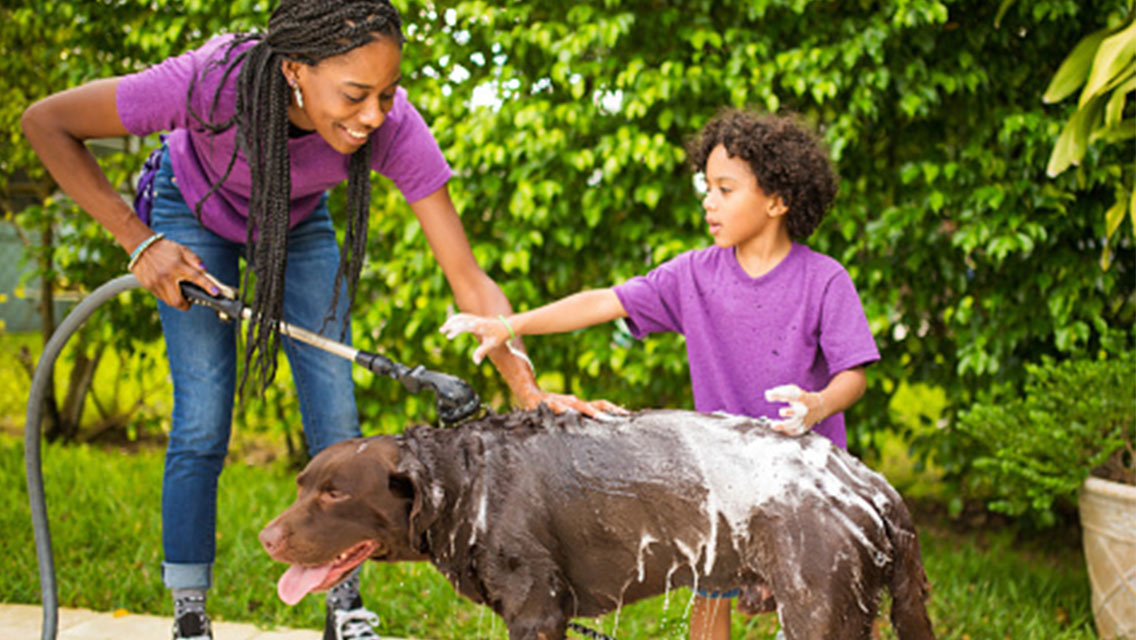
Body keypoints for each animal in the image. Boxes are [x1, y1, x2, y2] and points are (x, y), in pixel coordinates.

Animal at [261, 411, 936, 640]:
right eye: (301, 485)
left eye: (336, 493)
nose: (267, 538)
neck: (467, 480)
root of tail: (869, 482)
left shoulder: (536, 614)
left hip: (819, 613)